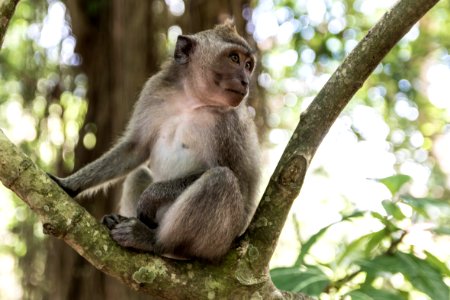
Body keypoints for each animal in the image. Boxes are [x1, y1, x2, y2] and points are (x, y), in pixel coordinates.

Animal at [49, 19, 260, 262]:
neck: (193, 102)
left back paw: (152, 240)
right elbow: (135, 148)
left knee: (221, 179)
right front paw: (68, 184)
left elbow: (241, 184)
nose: (245, 81)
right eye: (234, 58)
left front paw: (151, 196)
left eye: (248, 65)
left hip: (218, 243)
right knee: (139, 173)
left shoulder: (231, 125)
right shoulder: (154, 91)